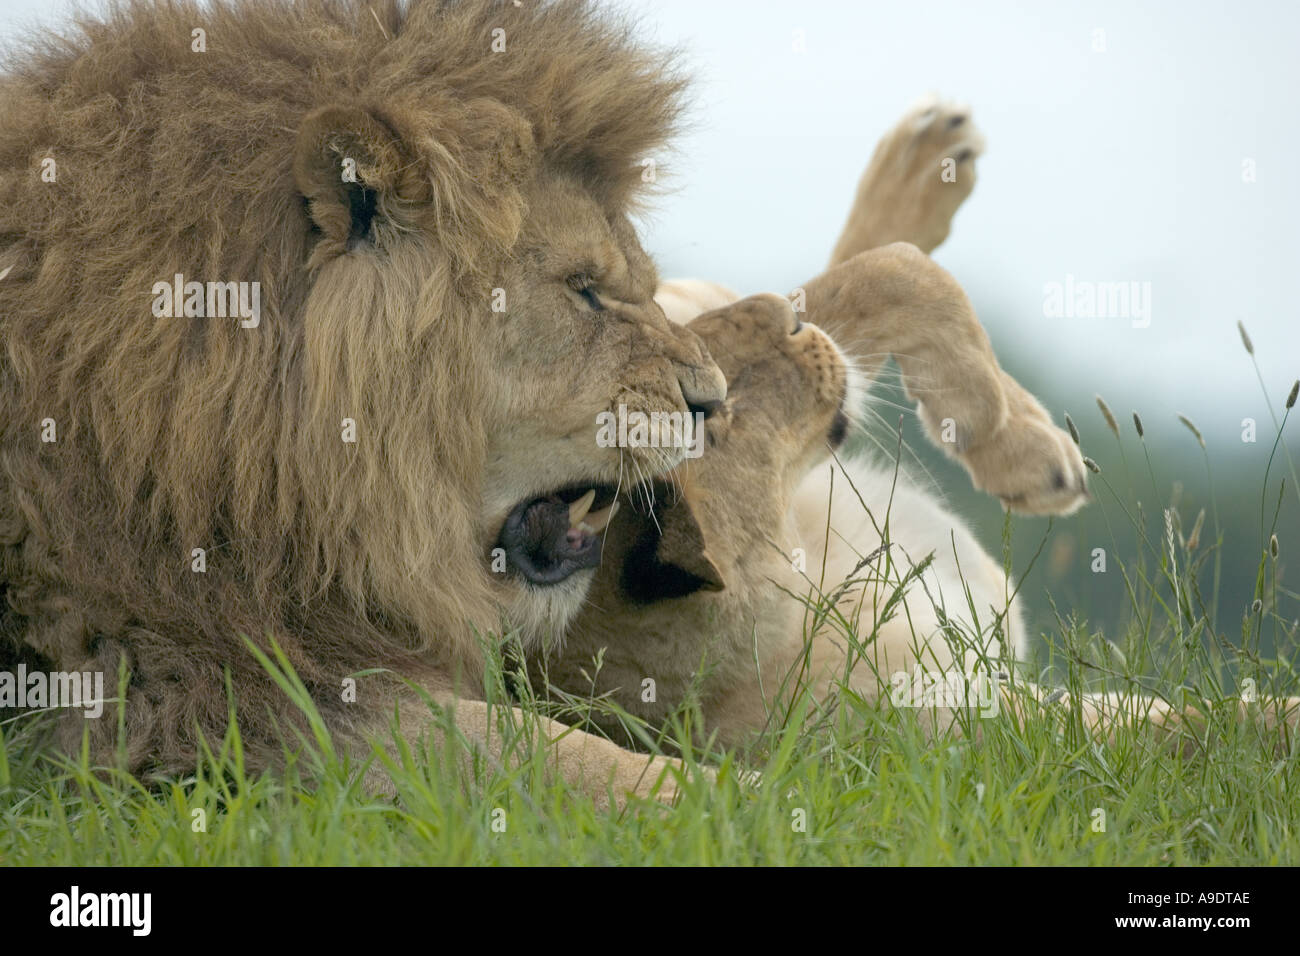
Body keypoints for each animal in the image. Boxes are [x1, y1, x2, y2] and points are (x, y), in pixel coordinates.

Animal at [0, 0, 735, 807]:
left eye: (645, 285)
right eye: (584, 289)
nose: (717, 402)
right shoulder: (189, 685)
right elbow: (539, 755)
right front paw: (742, 793)